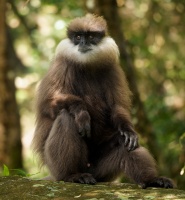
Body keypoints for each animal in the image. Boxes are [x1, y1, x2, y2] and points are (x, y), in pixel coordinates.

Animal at [32, 14, 173, 188]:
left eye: (91, 37)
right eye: (78, 37)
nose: (83, 43)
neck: (87, 65)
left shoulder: (113, 70)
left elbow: (118, 108)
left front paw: (128, 130)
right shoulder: (61, 67)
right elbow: (48, 103)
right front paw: (82, 112)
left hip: (100, 171)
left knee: (123, 142)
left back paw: (152, 180)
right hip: (56, 166)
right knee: (66, 117)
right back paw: (72, 175)